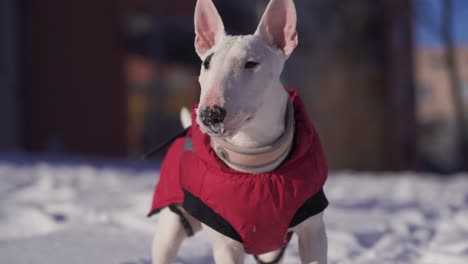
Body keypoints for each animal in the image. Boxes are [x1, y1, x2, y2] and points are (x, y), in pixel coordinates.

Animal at [150, 1, 330, 262]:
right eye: (206, 63)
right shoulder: (226, 242)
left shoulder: (313, 231)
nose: (209, 115)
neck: (254, 165)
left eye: (251, 63)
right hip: (170, 224)